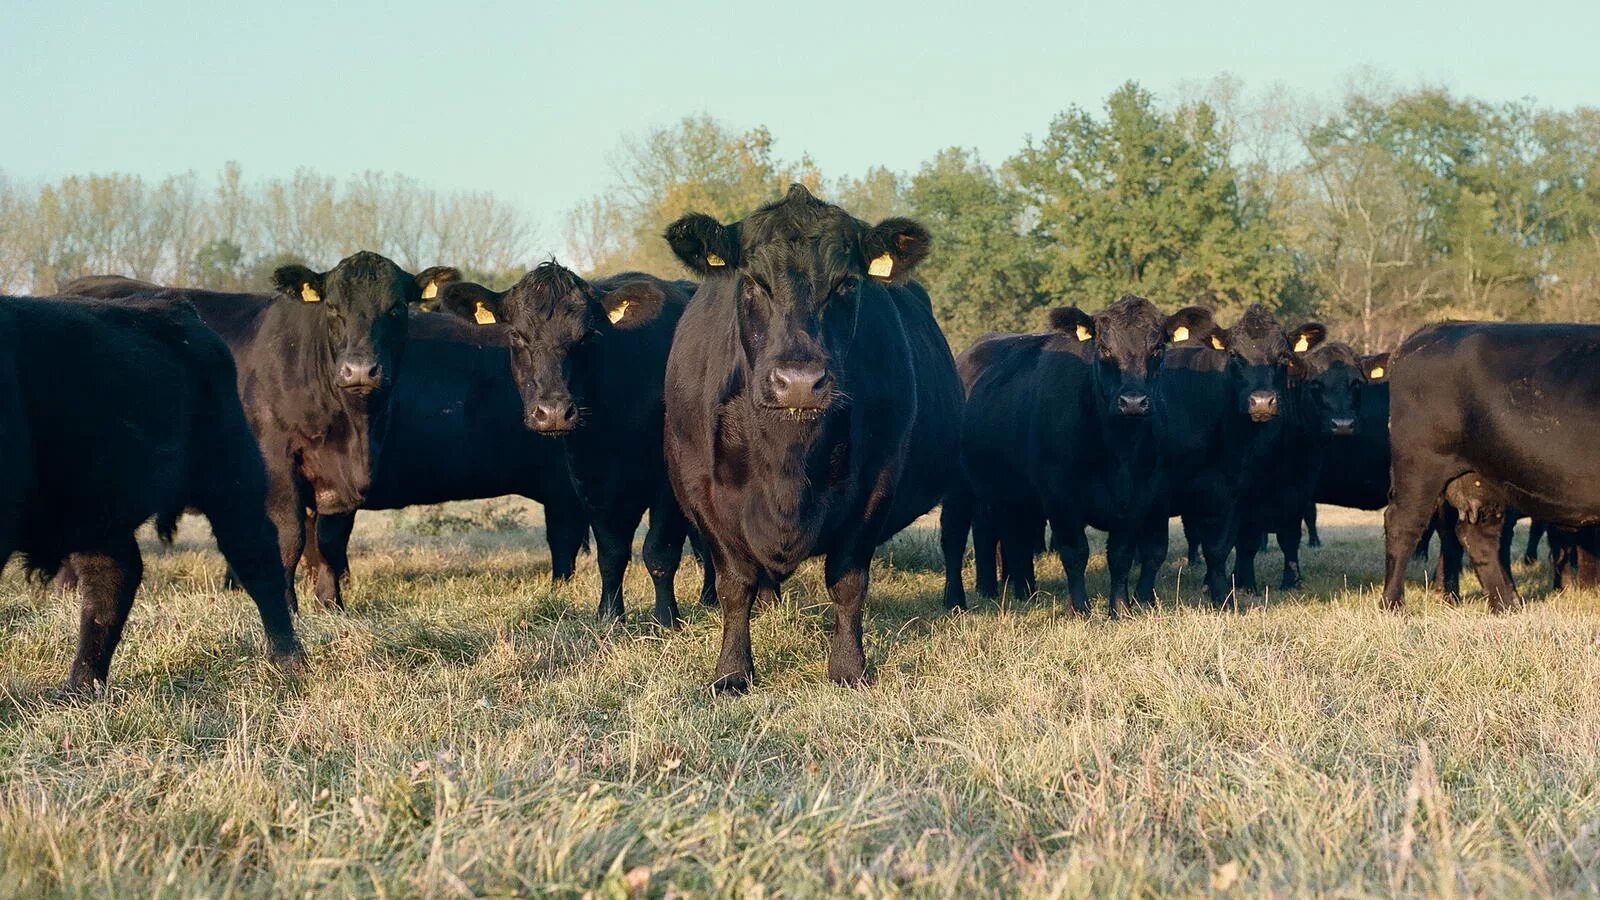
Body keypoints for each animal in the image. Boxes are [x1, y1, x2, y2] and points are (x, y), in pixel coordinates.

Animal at [0, 294, 302, 685]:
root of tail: (173, 306)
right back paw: (82, 685)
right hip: (98, 508)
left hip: (231, 477)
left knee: (257, 557)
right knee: (112, 579)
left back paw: (288, 659)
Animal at [441, 259, 710, 624]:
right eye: (516, 335)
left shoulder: (667, 483)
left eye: (587, 336)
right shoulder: (590, 480)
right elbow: (611, 554)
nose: (554, 412)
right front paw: (609, 616)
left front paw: (667, 619)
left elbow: (659, 552)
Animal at [662, 180, 960, 685]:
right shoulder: (701, 489)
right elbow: (734, 585)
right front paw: (732, 672)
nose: (799, 380)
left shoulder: (877, 484)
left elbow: (848, 582)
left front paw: (848, 668)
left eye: (847, 283)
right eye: (753, 282)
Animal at [940, 297, 1171, 611]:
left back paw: (1025, 592)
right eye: (1104, 348)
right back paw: (955, 600)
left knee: (1013, 539)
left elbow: (1121, 556)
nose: (1133, 402)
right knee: (954, 536)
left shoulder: (1136, 498)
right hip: (959, 488)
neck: (1117, 451)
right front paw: (1080, 609)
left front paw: (1120, 609)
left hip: (1010, 492)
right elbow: (1076, 553)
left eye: (1157, 348)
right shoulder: (1060, 496)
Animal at [1382, 318, 1600, 605]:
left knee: (1477, 536)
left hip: (1482, 477)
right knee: (1403, 526)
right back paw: (1393, 604)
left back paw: (1508, 605)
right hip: (1420, 466)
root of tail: (1434, 330)